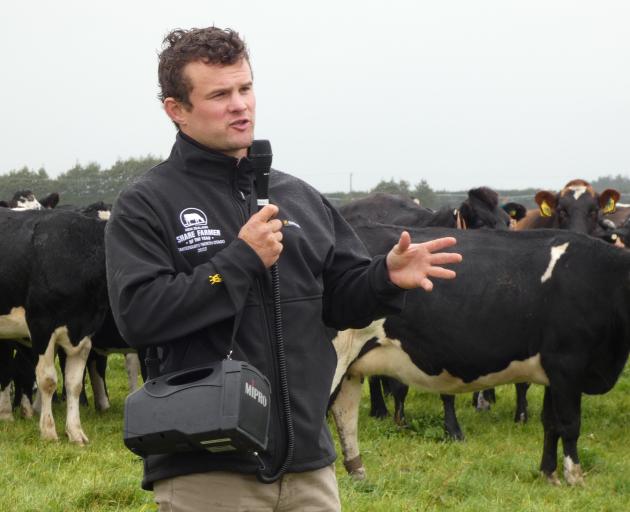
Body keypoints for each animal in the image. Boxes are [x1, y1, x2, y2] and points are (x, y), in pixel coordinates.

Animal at [330, 223, 630, 484]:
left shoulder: (552, 374)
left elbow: (550, 423)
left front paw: (549, 473)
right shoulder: (567, 364)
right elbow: (570, 424)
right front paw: (575, 478)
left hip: (351, 371)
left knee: (345, 419)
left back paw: (358, 475)